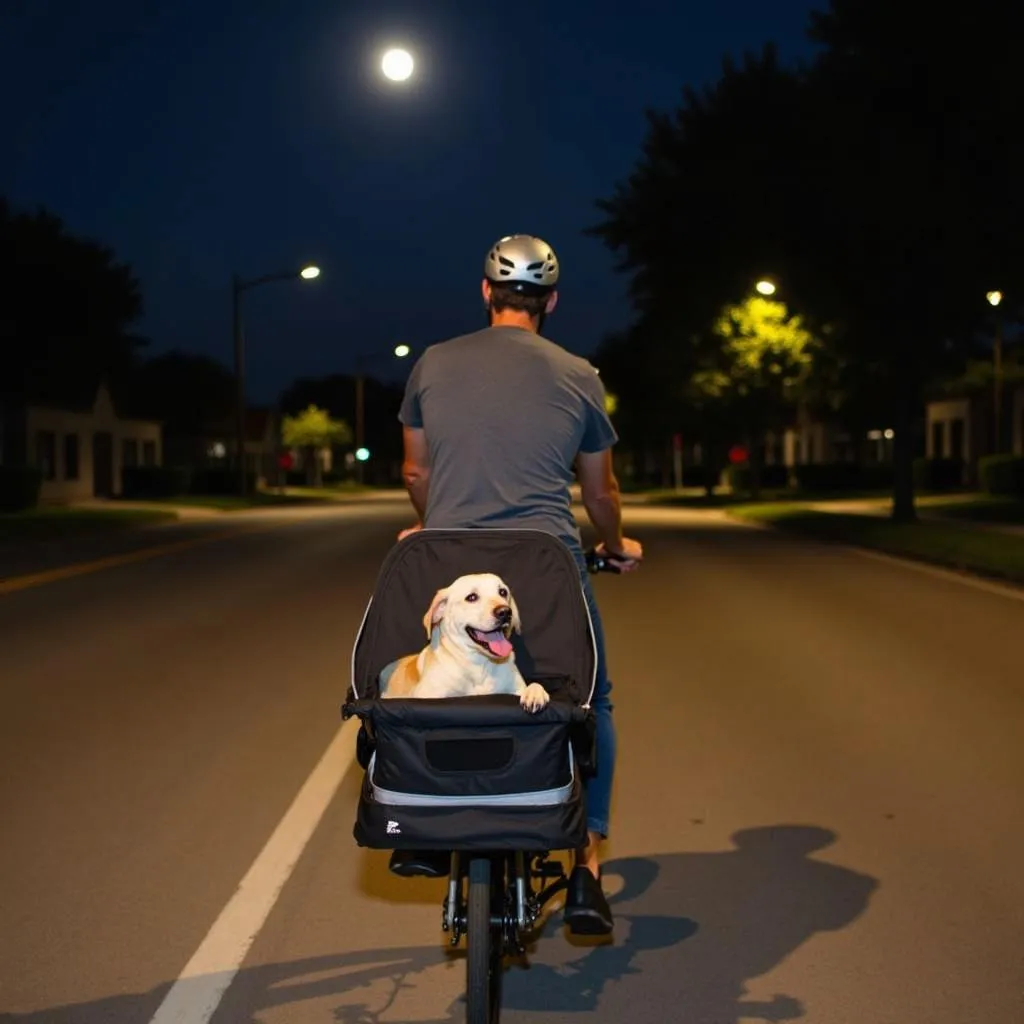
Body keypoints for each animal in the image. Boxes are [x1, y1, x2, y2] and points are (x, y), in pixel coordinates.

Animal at [378, 577, 552, 712]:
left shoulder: (516, 687)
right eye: (472, 597)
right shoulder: (428, 694)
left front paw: (534, 693)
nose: (505, 612)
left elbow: (533, 685)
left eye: (503, 592)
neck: (479, 665)